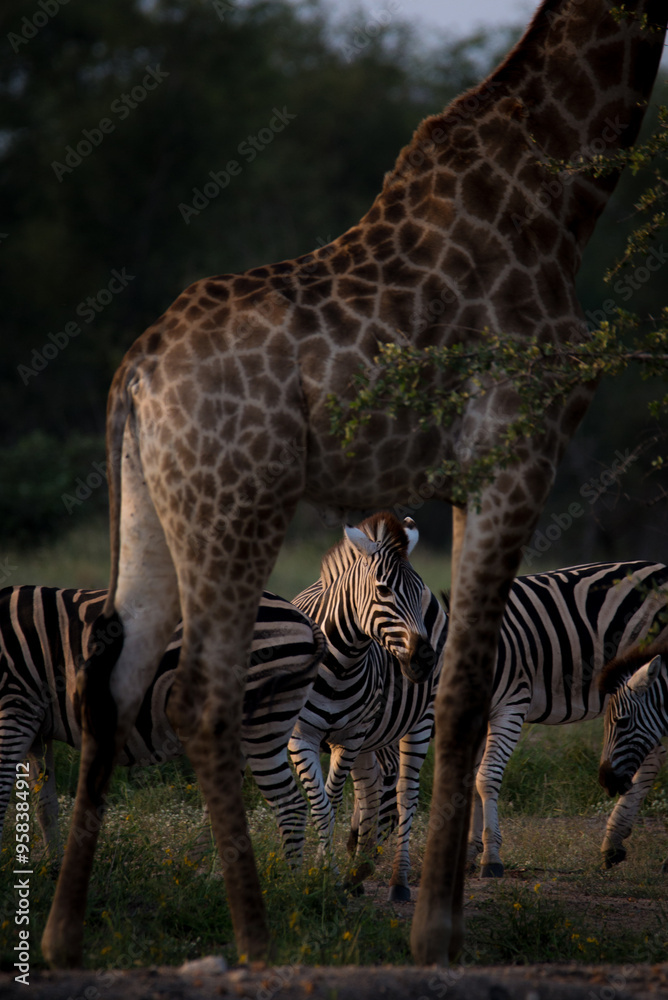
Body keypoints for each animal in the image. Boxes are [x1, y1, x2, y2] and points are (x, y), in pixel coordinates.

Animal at [0, 585, 325, 859]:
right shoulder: (37, 727)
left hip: (261, 724)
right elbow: (45, 805)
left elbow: (4, 792)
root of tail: (303, 618)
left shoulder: (15, 704)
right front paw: (53, 866)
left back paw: (290, 883)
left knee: (290, 806)